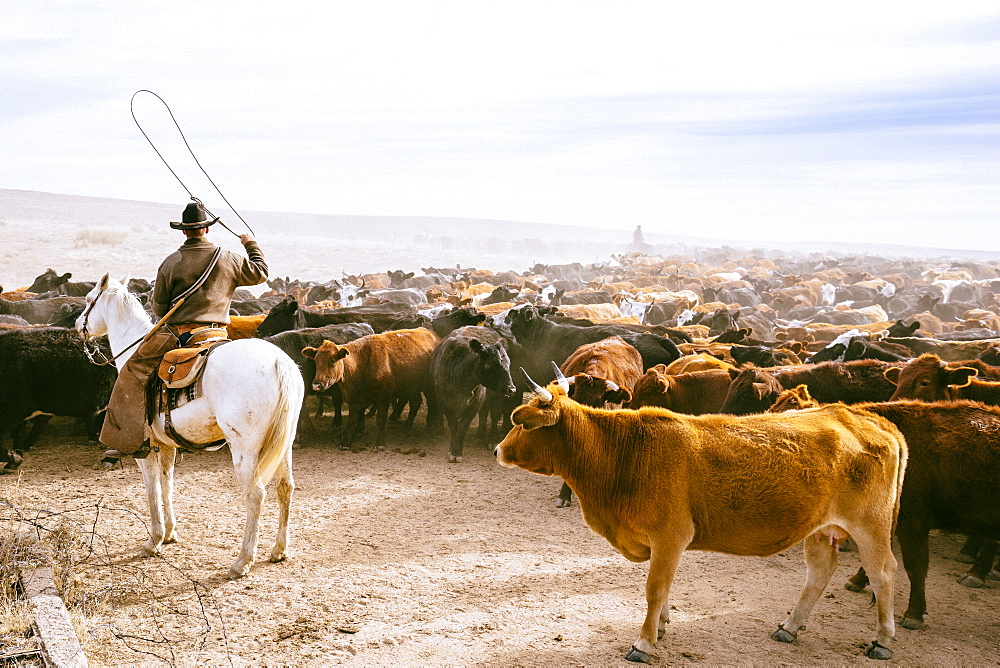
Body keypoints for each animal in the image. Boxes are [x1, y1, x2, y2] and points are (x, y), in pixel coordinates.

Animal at [76, 274, 302, 576]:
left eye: (89, 300)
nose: (78, 326)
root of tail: (279, 362)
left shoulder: (145, 450)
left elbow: (152, 489)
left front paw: (155, 539)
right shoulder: (166, 446)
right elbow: (167, 484)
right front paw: (170, 533)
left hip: (244, 448)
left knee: (255, 494)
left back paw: (242, 561)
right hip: (284, 443)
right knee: (285, 488)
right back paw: (279, 549)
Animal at [302, 328, 440, 448]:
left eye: (331, 362)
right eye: (316, 361)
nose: (316, 384)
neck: (361, 364)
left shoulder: (383, 397)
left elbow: (380, 419)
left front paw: (380, 443)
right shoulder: (353, 398)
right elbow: (353, 419)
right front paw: (347, 441)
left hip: (427, 387)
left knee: (432, 402)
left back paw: (433, 427)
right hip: (410, 387)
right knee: (416, 402)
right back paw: (405, 429)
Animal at [496, 380, 912, 664]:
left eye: (525, 424)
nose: (498, 449)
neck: (627, 450)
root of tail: (859, 415)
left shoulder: (670, 535)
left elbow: (655, 588)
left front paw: (643, 643)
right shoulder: (662, 542)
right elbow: (664, 588)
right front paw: (661, 627)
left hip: (871, 527)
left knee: (883, 574)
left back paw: (882, 640)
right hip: (821, 529)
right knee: (820, 571)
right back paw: (790, 627)